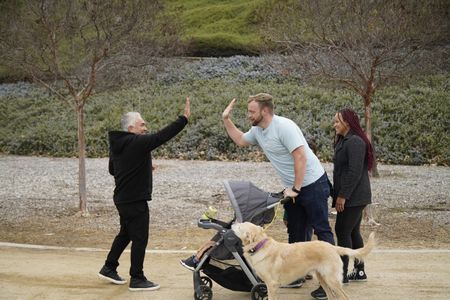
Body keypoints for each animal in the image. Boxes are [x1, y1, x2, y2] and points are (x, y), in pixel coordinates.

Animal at [232, 221, 376, 298]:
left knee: (345, 296)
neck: (260, 245)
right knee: (331, 296)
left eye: (239, 226)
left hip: (331, 280)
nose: (232, 223)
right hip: (323, 279)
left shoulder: (271, 285)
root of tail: (332, 246)